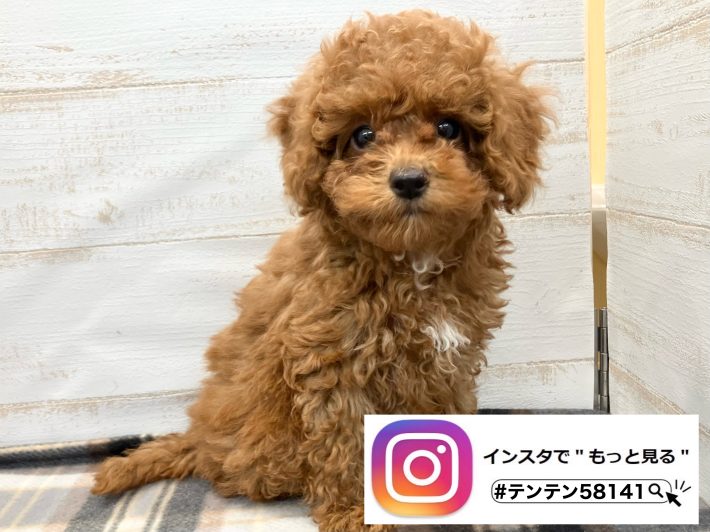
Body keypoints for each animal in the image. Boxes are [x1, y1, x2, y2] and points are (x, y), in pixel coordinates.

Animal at [92, 10, 549, 531]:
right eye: (363, 135)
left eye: (449, 128)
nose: (408, 179)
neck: (409, 260)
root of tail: (199, 438)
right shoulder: (331, 359)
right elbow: (346, 441)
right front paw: (356, 511)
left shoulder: (451, 358)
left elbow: (449, 415)